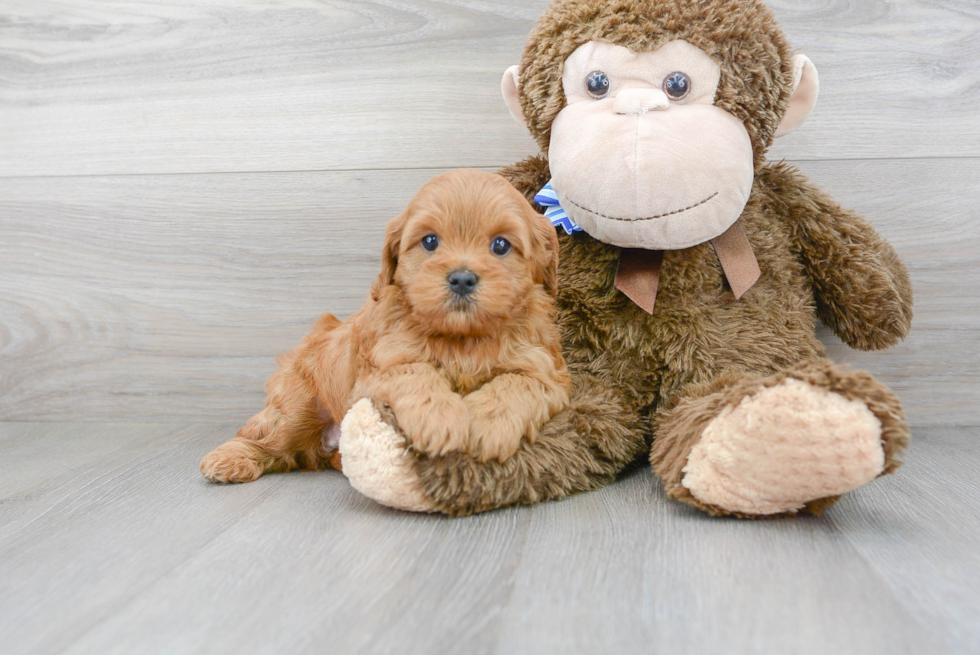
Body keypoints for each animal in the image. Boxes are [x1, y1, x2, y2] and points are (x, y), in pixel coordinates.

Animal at [201, 167, 568, 484]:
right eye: (430, 241)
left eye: (501, 245)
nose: (462, 279)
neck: (461, 337)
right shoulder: (380, 367)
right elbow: (417, 373)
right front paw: (440, 421)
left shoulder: (544, 371)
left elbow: (514, 384)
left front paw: (485, 427)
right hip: (298, 402)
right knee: (267, 437)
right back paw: (229, 459)